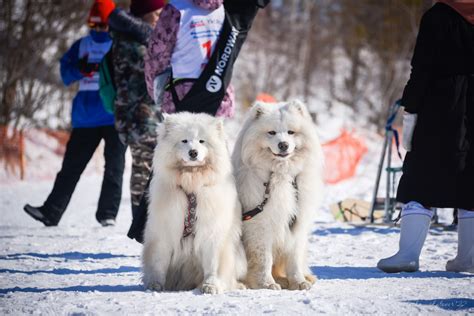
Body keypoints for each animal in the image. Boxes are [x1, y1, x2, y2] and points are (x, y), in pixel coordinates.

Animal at [143, 111, 246, 294]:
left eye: (202, 141)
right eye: (184, 140)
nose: (193, 152)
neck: (192, 183)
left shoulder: (213, 230)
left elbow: (213, 264)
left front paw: (211, 286)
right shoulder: (165, 228)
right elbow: (158, 261)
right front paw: (155, 284)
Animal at [231, 100, 324, 290]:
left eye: (291, 132)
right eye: (271, 132)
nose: (283, 145)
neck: (281, 172)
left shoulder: (297, 223)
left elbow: (294, 259)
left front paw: (299, 282)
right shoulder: (260, 224)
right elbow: (264, 259)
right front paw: (266, 284)